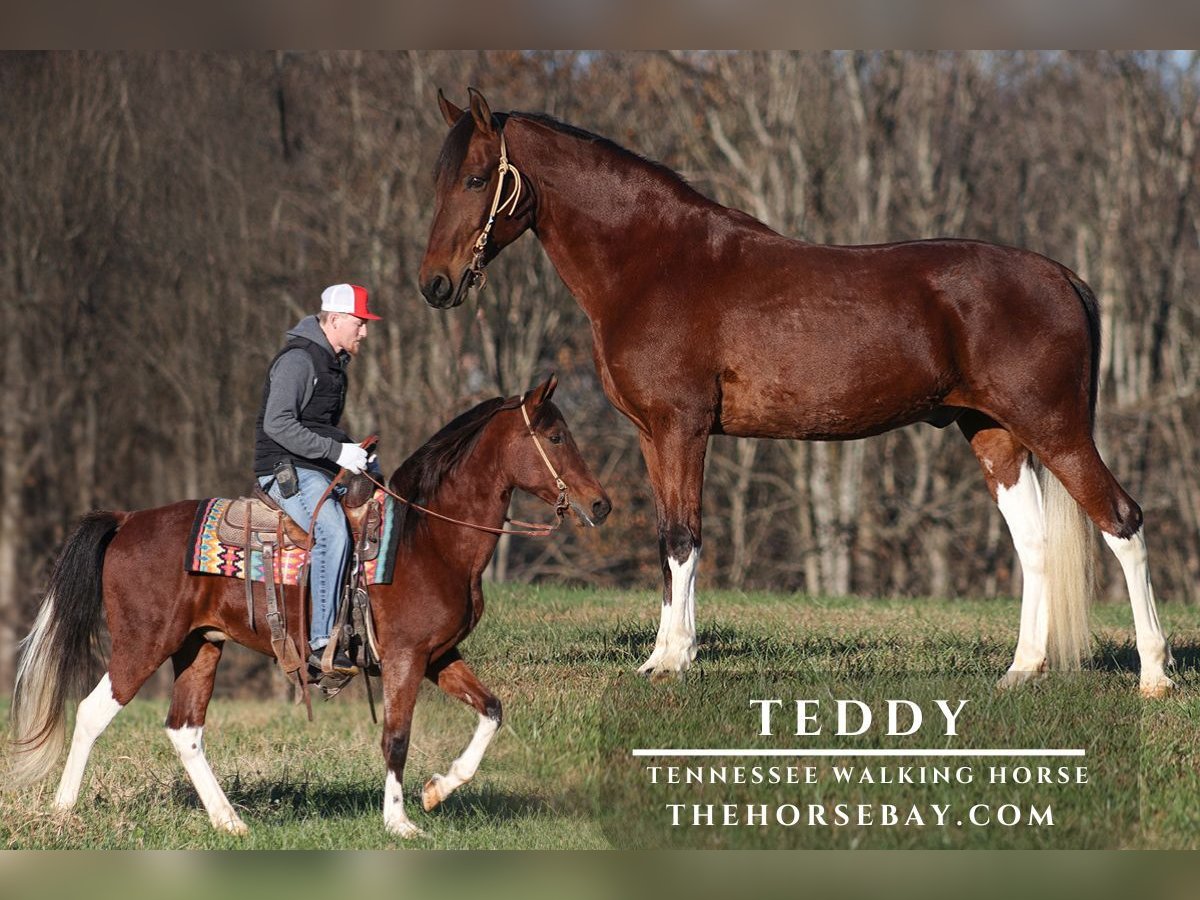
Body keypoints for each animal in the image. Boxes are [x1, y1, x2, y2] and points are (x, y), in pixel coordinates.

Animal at [10, 376, 612, 838]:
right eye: (556, 435)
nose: (600, 504)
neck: (429, 538)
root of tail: (127, 519)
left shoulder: (439, 656)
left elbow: (491, 710)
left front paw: (438, 790)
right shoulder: (405, 659)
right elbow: (396, 736)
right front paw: (399, 823)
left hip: (199, 648)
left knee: (185, 730)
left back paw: (230, 822)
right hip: (142, 644)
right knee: (92, 713)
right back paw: (63, 811)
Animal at [417, 89, 1174, 698]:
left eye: (478, 177)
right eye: (440, 181)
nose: (434, 284)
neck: (654, 262)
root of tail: (1061, 276)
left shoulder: (681, 427)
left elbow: (683, 537)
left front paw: (673, 662)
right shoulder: (651, 435)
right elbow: (668, 537)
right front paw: (665, 655)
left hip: (1057, 429)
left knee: (1123, 521)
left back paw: (1155, 676)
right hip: (995, 434)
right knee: (1036, 545)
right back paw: (1021, 671)